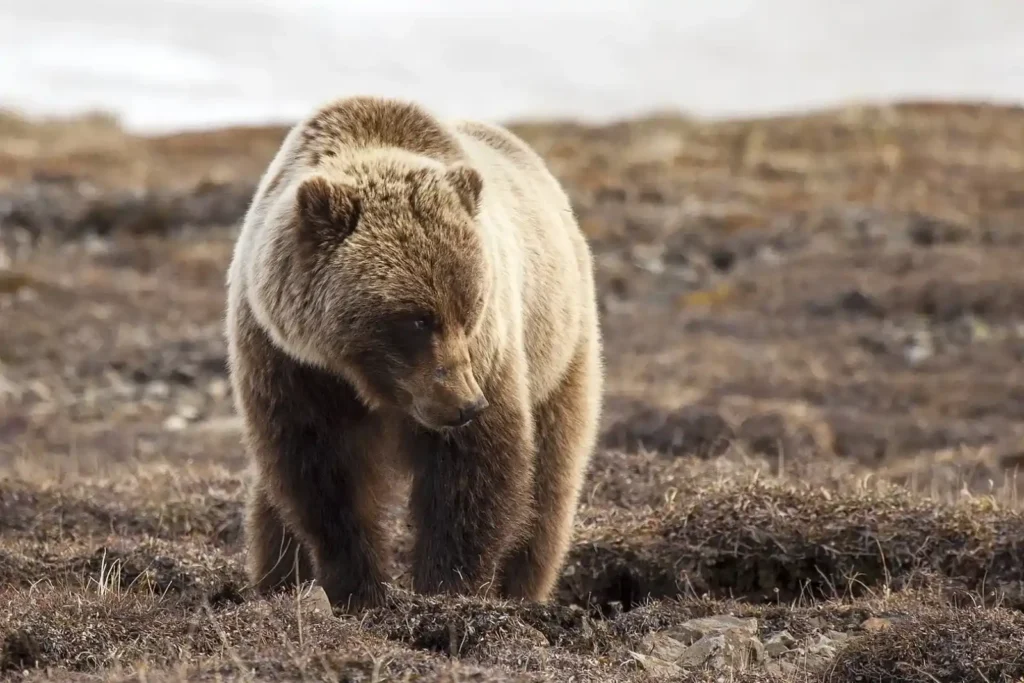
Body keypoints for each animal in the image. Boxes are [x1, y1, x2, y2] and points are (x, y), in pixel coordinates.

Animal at [224, 95, 603, 611]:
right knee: (272, 504)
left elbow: (474, 472)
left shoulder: (490, 354)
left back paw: (523, 591)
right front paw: (357, 589)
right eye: (417, 319)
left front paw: (449, 588)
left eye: (470, 307)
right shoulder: (290, 363)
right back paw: (277, 581)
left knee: (550, 481)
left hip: (560, 349)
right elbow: (320, 474)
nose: (466, 404)